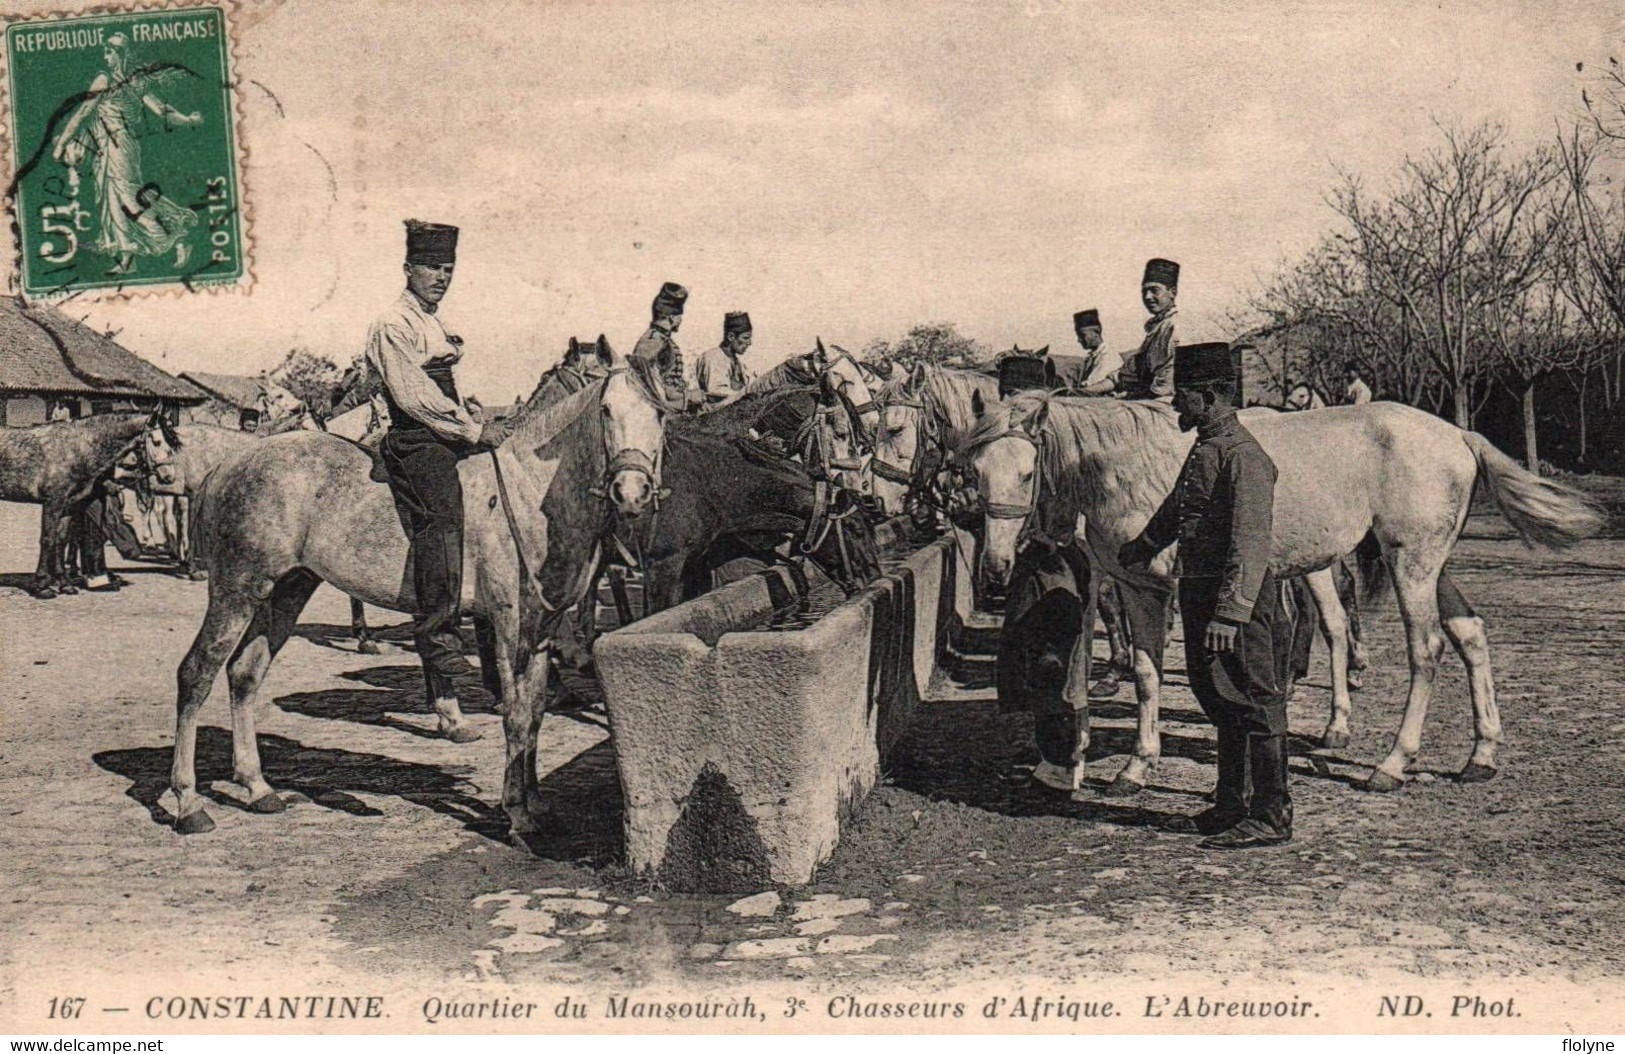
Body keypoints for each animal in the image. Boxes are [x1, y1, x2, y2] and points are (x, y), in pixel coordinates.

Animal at [0, 407, 166, 597]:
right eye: (157, 442)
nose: (169, 476)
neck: (74, 449)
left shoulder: (68, 506)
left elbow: (61, 540)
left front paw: (65, 584)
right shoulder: (53, 502)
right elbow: (48, 539)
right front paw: (42, 586)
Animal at [169, 345, 666, 838]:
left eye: (659, 414)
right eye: (606, 410)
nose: (631, 492)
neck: (527, 491)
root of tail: (230, 463)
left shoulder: (541, 628)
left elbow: (537, 712)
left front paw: (537, 803)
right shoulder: (508, 624)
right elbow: (516, 714)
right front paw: (517, 813)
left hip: (287, 590)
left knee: (245, 674)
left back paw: (257, 787)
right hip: (236, 590)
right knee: (197, 672)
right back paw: (188, 802)